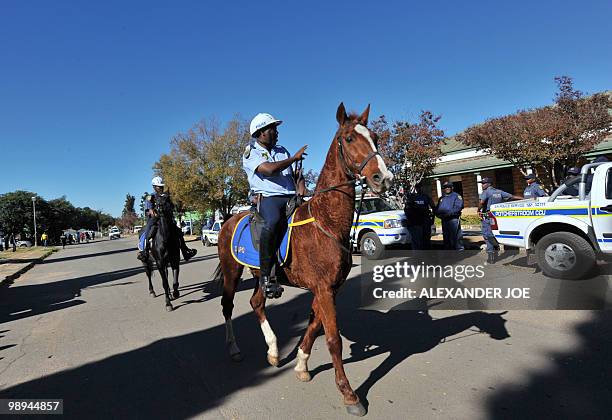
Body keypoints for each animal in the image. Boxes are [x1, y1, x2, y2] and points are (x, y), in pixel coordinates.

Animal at [213, 102, 392, 416]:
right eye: (348, 139)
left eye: (375, 137)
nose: (382, 178)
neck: (326, 221)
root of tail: (229, 219)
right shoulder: (323, 289)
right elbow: (333, 339)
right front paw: (349, 394)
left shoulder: (329, 289)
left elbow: (314, 325)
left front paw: (301, 364)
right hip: (232, 272)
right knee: (227, 306)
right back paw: (234, 349)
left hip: (260, 275)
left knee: (257, 302)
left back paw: (274, 350)